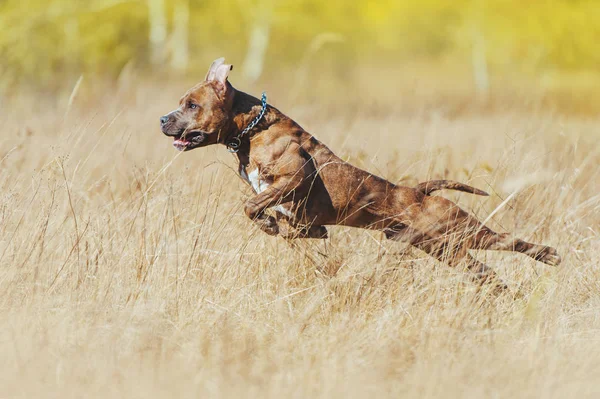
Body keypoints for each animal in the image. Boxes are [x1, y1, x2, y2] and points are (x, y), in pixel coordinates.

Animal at [161, 57, 564, 290]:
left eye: (192, 105)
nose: (164, 119)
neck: (251, 128)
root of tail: (423, 192)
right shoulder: (289, 203)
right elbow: (273, 215)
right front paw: (290, 229)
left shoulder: (294, 179)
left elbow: (251, 206)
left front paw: (272, 225)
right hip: (445, 248)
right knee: (488, 273)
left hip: (462, 232)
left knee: (510, 240)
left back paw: (549, 256)